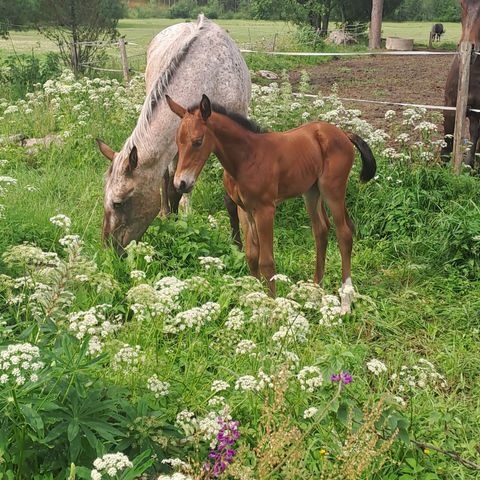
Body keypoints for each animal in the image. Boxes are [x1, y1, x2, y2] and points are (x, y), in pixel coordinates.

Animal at [96, 14, 249, 255]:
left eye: (118, 202)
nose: (110, 250)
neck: (209, 76)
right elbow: (173, 188)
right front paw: (174, 226)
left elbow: (228, 197)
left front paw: (237, 246)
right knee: (168, 180)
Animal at [167, 94, 376, 314]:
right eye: (177, 142)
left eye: (198, 142)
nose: (181, 183)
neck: (246, 158)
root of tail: (343, 133)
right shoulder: (244, 210)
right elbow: (251, 255)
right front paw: (254, 300)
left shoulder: (265, 209)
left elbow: (266, 261)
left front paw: (271, 308)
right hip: (311, 192)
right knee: (321, 230)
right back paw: (315, 292)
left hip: (332, 190)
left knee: (344, 234)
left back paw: (345, 302)